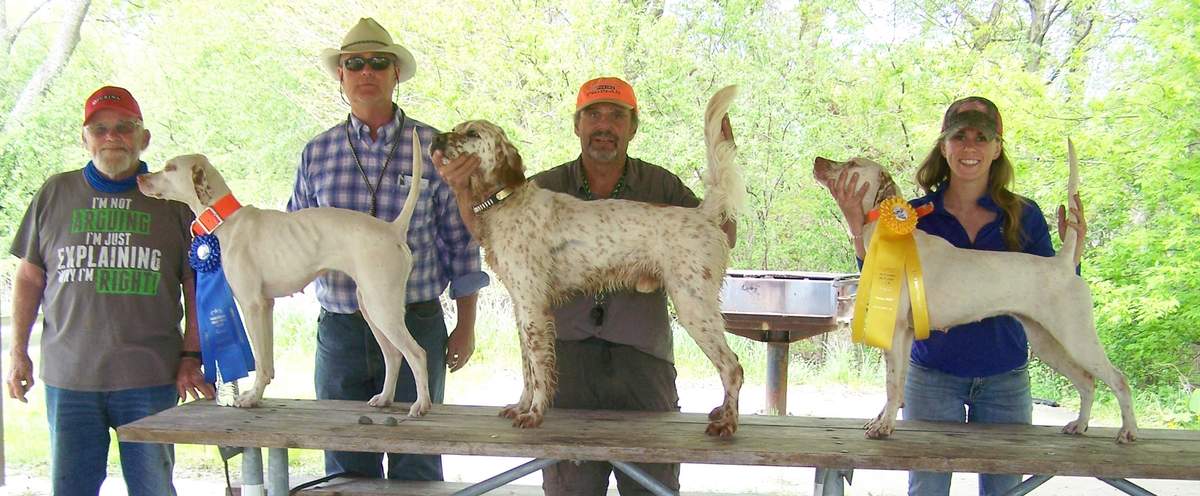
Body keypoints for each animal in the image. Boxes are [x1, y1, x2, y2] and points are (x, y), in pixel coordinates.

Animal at [138, 130, 429, 413]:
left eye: (170, 167)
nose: (141, 177)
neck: (228, 221)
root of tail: (392, 228)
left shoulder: (252, 306)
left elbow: (260, 361)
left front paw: (251, 397)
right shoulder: (266, 306)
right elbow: (267, 363)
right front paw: (258, 394)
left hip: (382, 308)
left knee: (417, 353)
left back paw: (421, 405)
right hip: (371, 307)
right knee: (394, 355)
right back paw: (385, 398)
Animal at [432, 87, 744, 434]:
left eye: (472, 134)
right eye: (455, 128)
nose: (436, 139)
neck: (505, 201)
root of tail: (703, 213)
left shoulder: (532, 306)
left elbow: (538, 369)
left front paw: (534, 413)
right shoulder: (521, 306)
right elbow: (527, 367)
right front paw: (520, 406)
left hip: (693, 305)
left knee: (732, 367)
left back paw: (727, 423)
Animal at [816, 141, 1132, 441]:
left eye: (852, 164)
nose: (817, 160)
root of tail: (1063, 264)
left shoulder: (894, 329)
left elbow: (892, 385)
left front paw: (884, 428)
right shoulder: (904, 334)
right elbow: (898, 383)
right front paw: (882, 420)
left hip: (1077, 337)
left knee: (1118, 380)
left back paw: (1127, 431)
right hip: (1047, 342)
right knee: (1087, 382)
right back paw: (1079, 425)